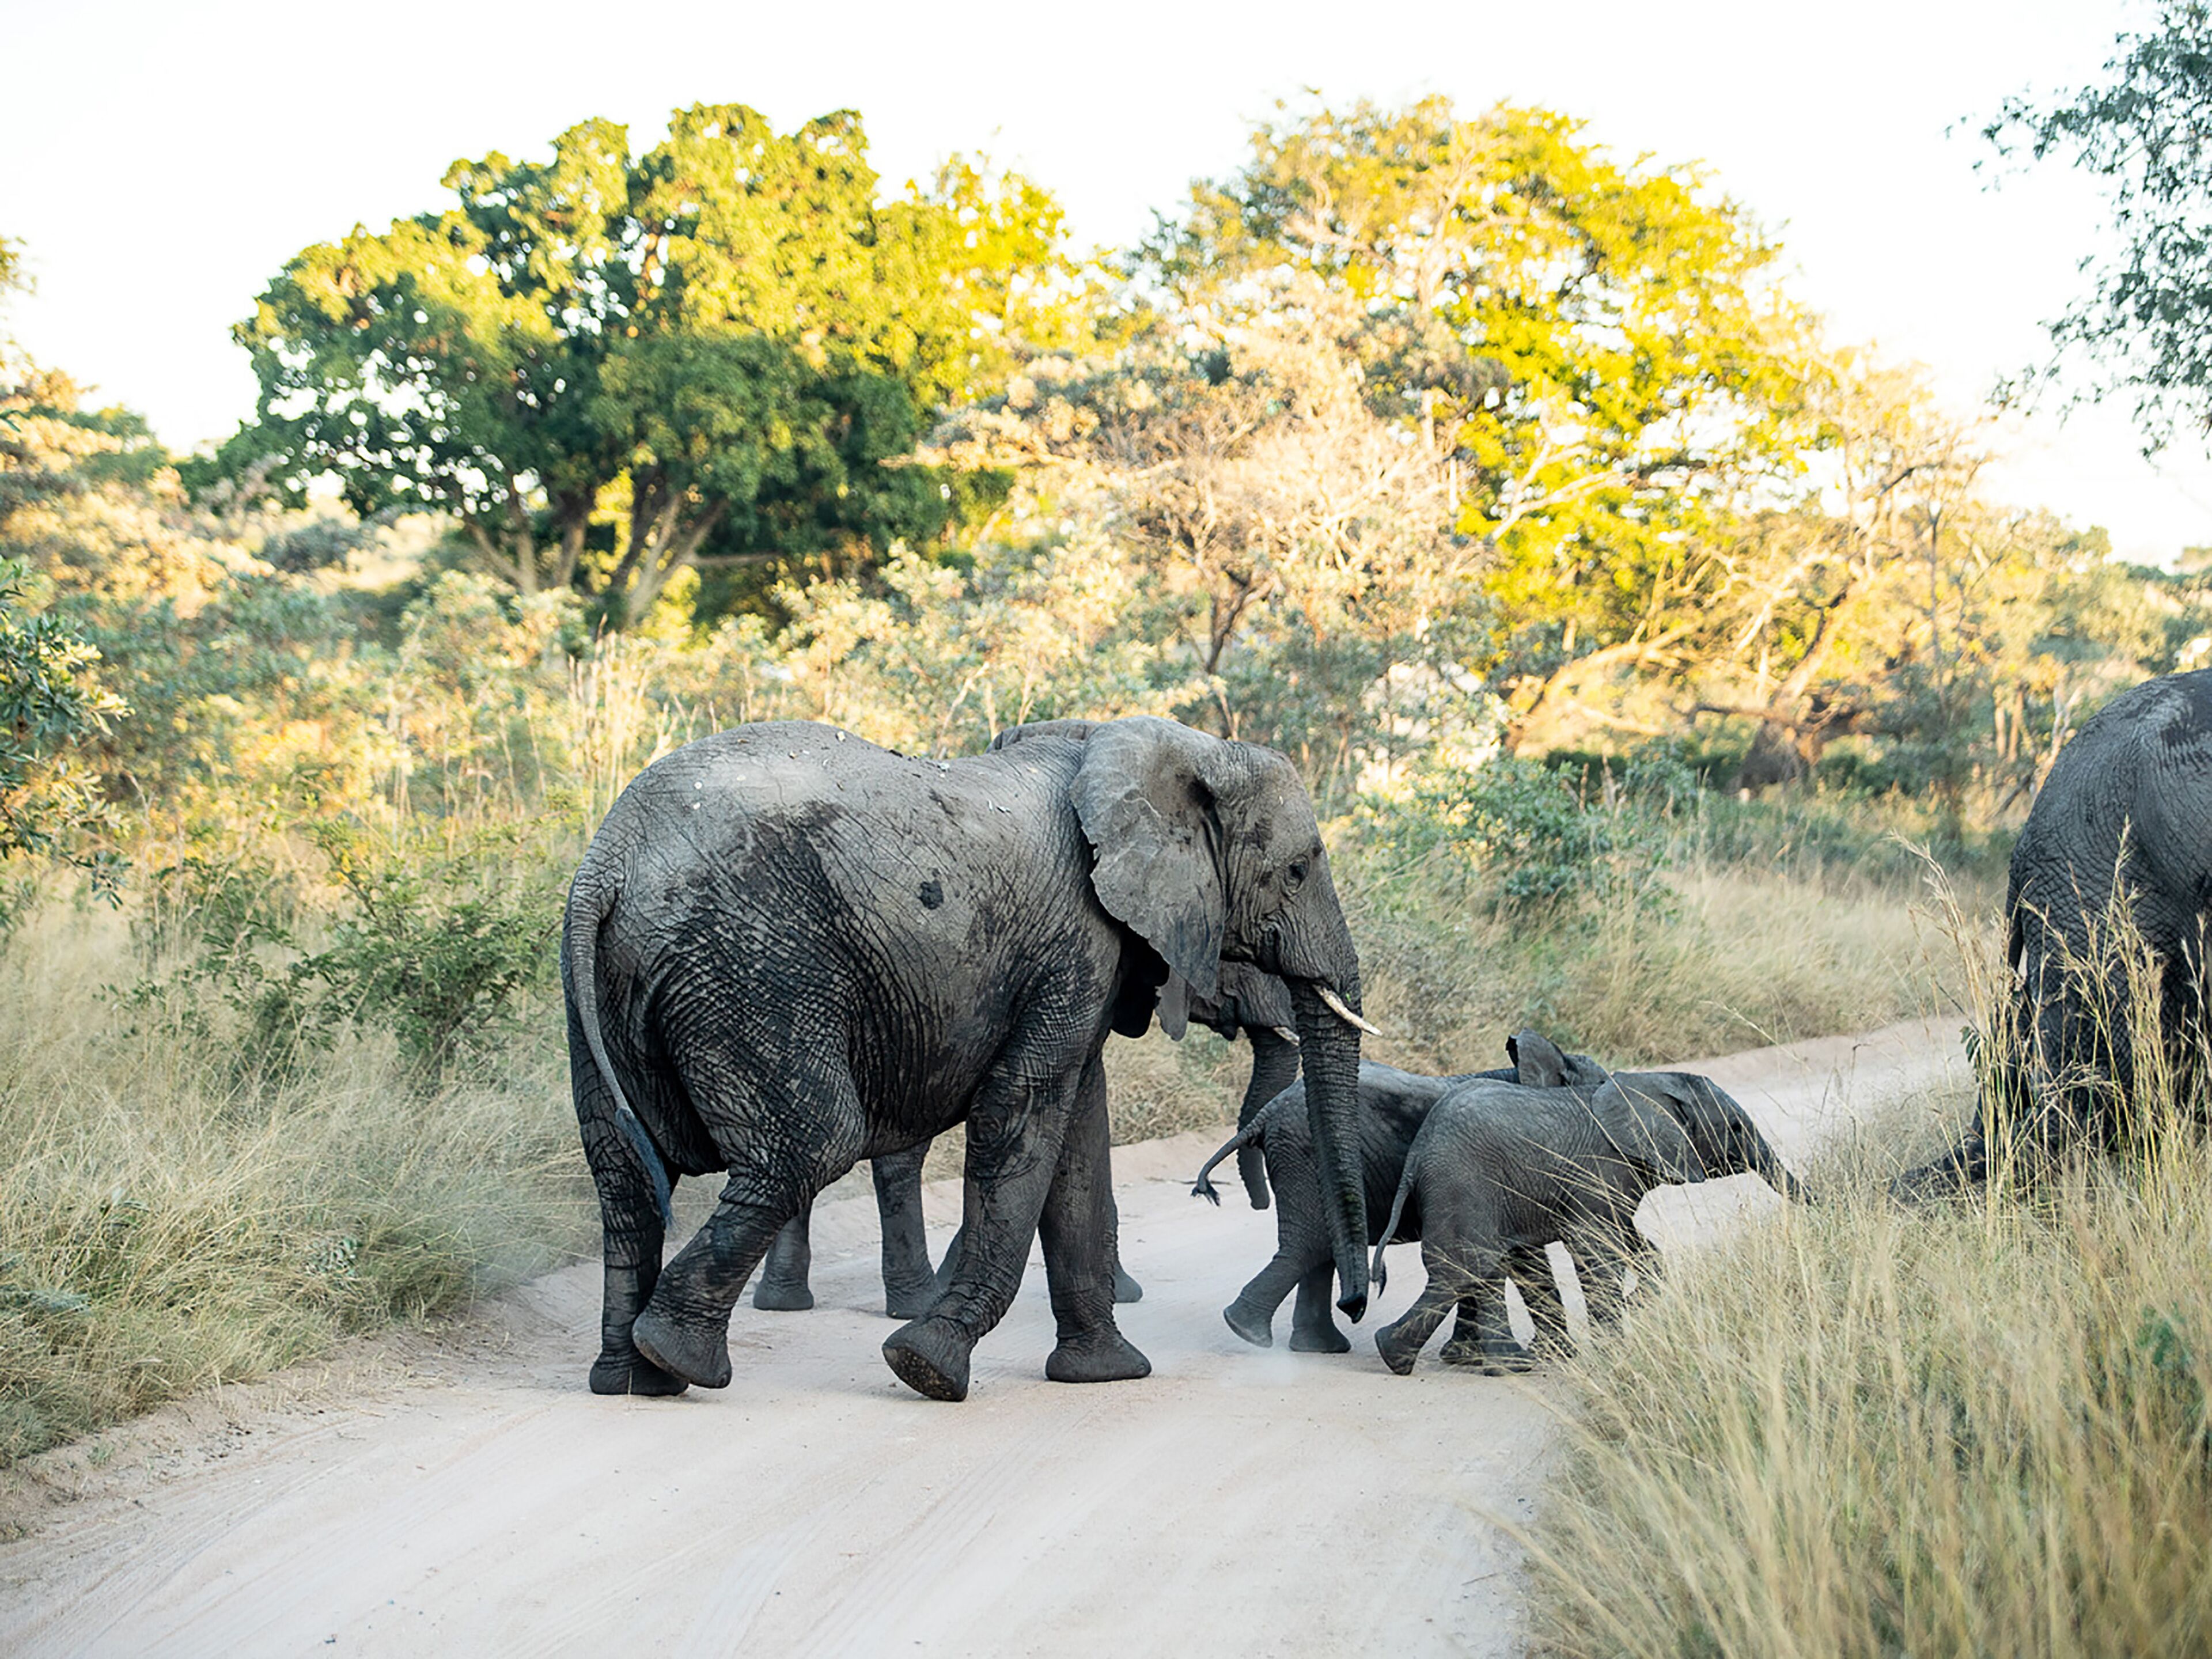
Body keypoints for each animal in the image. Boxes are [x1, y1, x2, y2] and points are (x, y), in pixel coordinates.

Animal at [562, 716, 1373, 1403]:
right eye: (1298, 871)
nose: (1357, 1305)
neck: (1162, 745)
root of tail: (610, 859)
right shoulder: (1077, 939)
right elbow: (1023, 1116)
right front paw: (928, 1368)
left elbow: (1079, 1138)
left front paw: (1106, 1375)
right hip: (753, 965)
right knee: (810, 1147)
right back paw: (680, 1358)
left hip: (612, 981)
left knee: (623, 1171)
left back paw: (631, 1381)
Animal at [1189, 1031, 1607, 1354]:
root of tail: (1266, 1112)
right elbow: (1520, 1258)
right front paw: (1554, 1356)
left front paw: (1462, 1357)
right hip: (1303, 1157)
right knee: (1308, 1245)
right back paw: (1251, 1332)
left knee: (1317, 1249)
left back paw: (1311, 1346)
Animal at [1370, 1068, 1800, 1375]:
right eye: (1736, 1128)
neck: (1651, 1083)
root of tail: (1418, 1154)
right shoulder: (1601, 1169)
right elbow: (1595, 1248)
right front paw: (1617, 1348)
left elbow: (1633, 1239)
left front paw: (1637, 1303)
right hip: (1464, 1184)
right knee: (1469, 1267)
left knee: (1482, 1268)